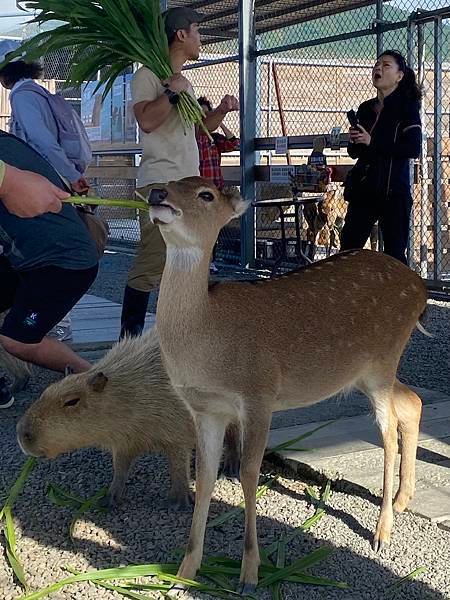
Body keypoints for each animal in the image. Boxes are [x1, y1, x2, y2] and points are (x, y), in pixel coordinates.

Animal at [147, 176, 428, 592]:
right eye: (168, 183)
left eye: (206, 194)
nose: (156, 194)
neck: (208, 338)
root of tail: (420, 287)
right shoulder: (206, 410)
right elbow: (206, 476)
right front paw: (184, 574)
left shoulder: (259, 393)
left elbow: (249, 472)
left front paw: (249, 573)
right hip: (366, 372)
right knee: (412, 402)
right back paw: (402, 499)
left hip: (383, 360)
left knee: (389, 431)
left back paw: (382, 532)